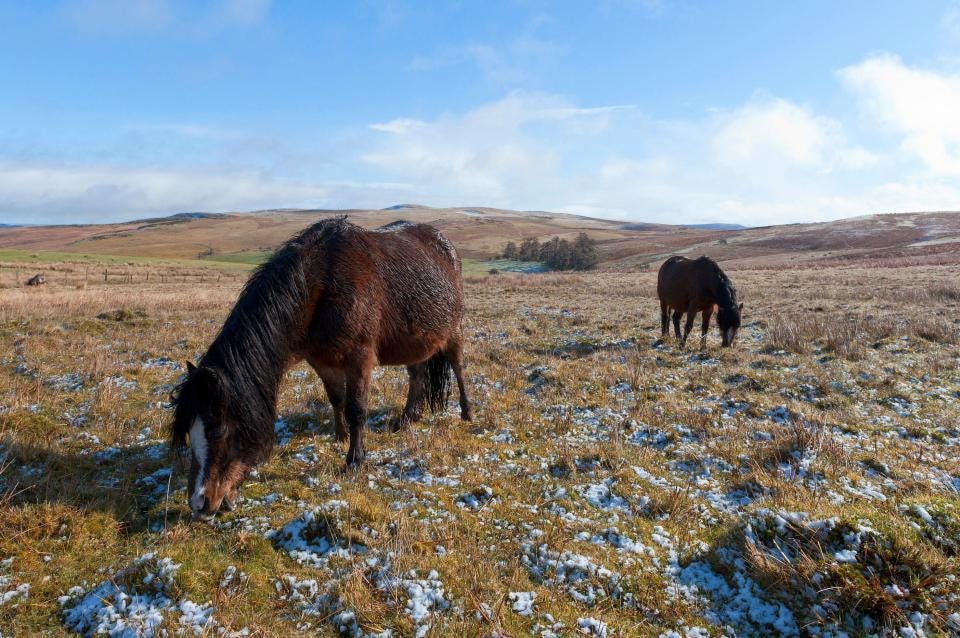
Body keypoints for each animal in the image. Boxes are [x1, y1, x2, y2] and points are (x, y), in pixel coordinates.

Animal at [174, 219, 474, 520]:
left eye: (220, 431)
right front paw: (341, 437)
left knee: (458, 369)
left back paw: (467, 413)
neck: (317, 286)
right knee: (417, 374)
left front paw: (354, 460)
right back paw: (408, 418)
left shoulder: (359, 358)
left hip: (454, 330)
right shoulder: (320, 360)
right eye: (189, 431)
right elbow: (336, 398)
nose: (199, 504)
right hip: (415, 340)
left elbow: (356, 409)